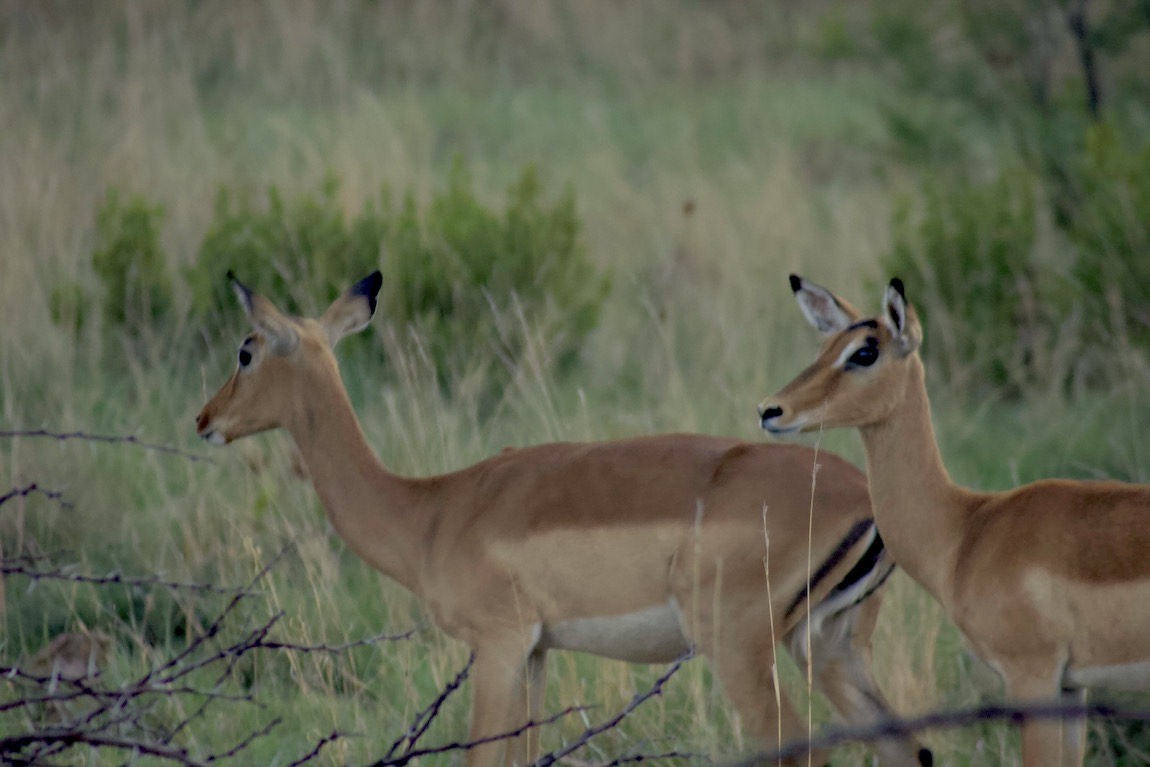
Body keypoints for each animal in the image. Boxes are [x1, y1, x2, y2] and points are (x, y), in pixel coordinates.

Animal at [195, 271, 931, 767]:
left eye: (245, 349)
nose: (204, 419)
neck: (431, 510)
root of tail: (863, 496)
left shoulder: (496, 646)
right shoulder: (538, 652)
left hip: (740, 647)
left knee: (800, 747)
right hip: (830, 644)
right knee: (907, 746)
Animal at [759, 274, 1150, 767]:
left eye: (865, 352)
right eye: (824, 347)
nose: (771, 410)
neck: (967, 530)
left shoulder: (1032, 675)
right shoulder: (1071, 686)